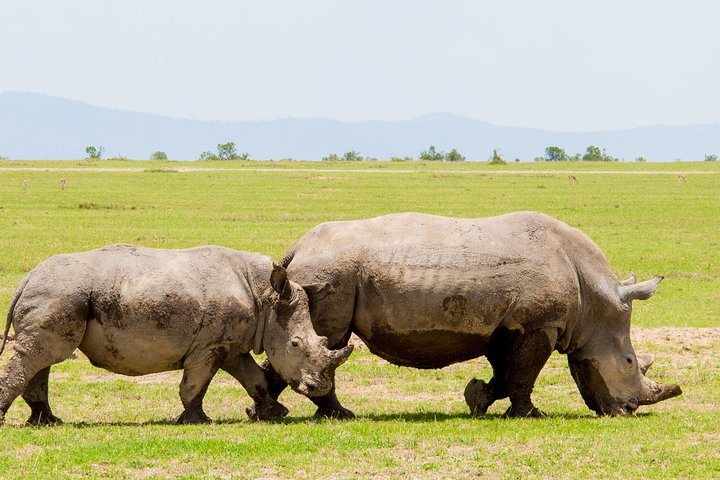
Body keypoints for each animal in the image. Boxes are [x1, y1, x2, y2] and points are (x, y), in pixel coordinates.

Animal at [0, 244, 352, 426]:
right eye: (295, 344)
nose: (319, 387)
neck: (265, 295)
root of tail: (26, 279)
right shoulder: (209, 345)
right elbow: (195, 384)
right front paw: (198, 421)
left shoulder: (231, 344)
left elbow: (254, 379)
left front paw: (274, 414)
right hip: (60, 293)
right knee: (39, 356)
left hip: (56, 293)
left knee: (41, 358)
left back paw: (48, 422)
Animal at [252, 212, 682, 418]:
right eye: (629, 362)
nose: (627, 410)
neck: (595, 299)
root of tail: (297, 248)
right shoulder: (539, 324)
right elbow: (523, 374)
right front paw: (529, 414)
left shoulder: (506, 326)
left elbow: (506, 372)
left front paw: (477, 398)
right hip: (328, 273)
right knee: (329, 341)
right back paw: (338, 415)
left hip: (321, 273)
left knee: (316, 341)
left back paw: (265, 413)